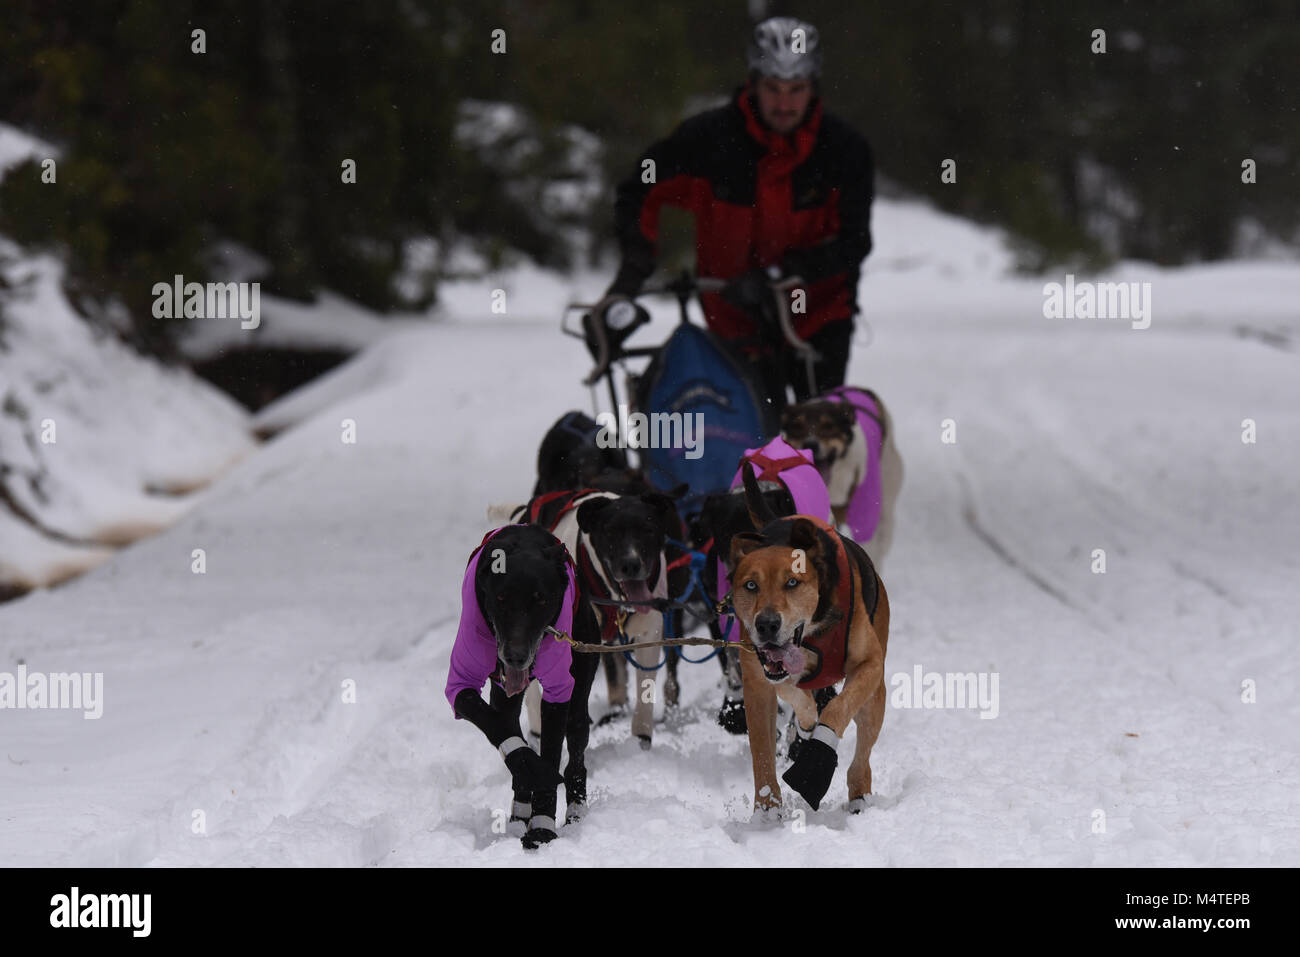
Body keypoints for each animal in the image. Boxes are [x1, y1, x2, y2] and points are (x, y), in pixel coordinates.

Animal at [728, 462, 889, 816]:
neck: (813, 634)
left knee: (862, 753)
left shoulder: (869, 665)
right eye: (750, 585)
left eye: (792, 582)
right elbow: (763, 746)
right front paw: (767, 808)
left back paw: (859, 794)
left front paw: (815, 763)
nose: (767, 625)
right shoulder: (757, 680)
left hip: (875, 694)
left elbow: (837, 709)